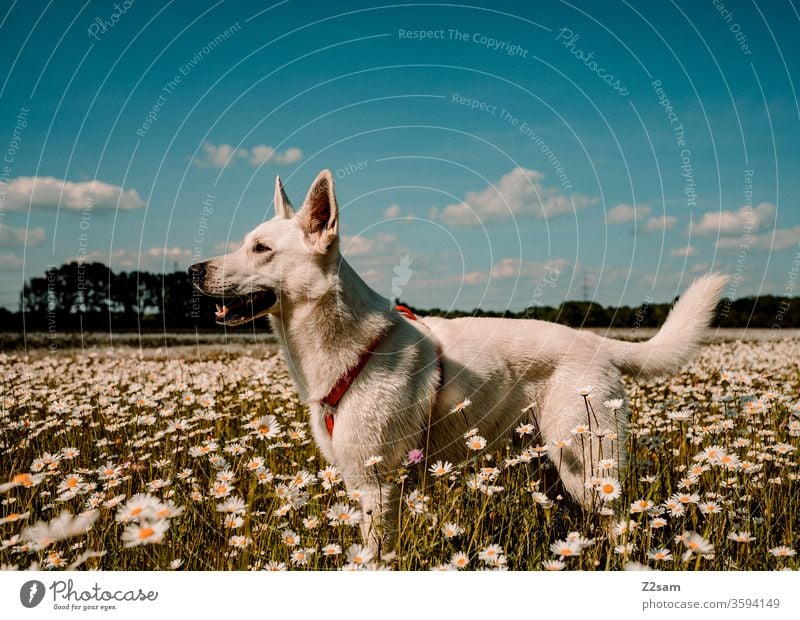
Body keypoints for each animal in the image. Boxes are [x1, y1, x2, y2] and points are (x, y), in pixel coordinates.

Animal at [191, 171, 728, 556]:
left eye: (261, 249)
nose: (193, 269)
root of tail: (599, 342)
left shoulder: (376, 486)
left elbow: (373, 557)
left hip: (591, 469)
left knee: (624, 530)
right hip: (554, 469)